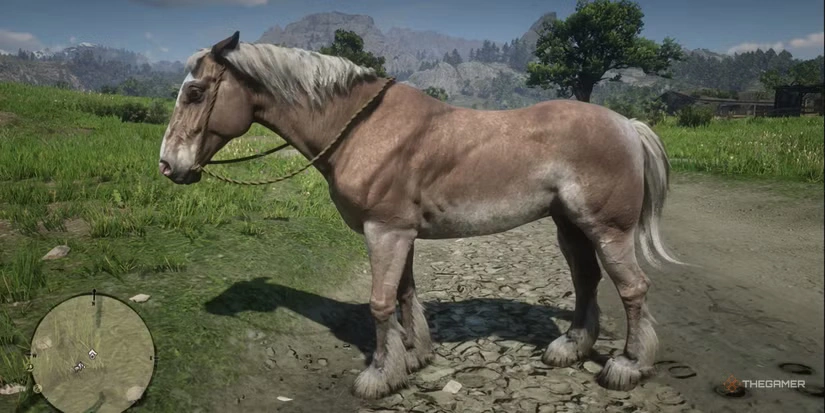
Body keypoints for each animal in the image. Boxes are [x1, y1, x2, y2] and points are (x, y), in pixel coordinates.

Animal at [159, 32, 683, 399]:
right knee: (586, 281)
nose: (168, 165)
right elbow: (405, 296)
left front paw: (378, 375)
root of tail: (626, 124)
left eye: (196, 92)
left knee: (632, 289)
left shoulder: (384, 232)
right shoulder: (401, 233)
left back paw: (629, 366)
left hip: (607, 229)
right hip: (570, 226)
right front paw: (412, 358)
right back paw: (571, 348)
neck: (365, 128)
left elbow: (380, 303)